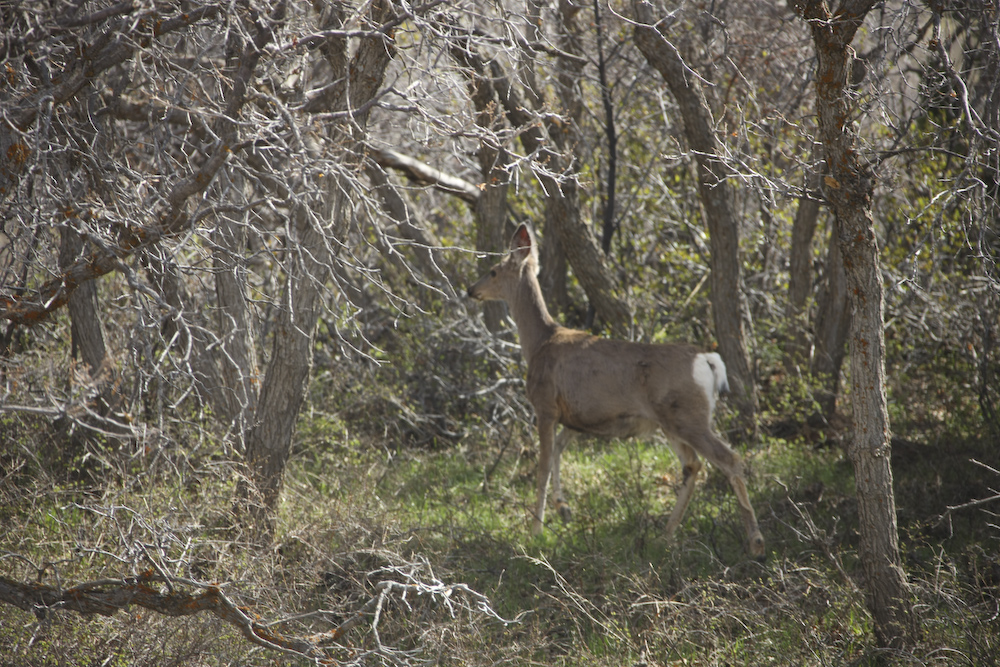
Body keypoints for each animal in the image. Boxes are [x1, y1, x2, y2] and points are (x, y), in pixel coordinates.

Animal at [467, 223, 765, 560]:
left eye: (493, 271)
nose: (470, 289)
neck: (540, 343)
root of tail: (708, 360)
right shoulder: (575, 417)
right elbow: (558, 450)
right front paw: (563, 508)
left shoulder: (545, 405)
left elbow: (542, 464)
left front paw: (536, 530)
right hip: (671, 421)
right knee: (692, 465)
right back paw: (664, 536)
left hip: (688, 416)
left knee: (729, 459)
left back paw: (755, 542)